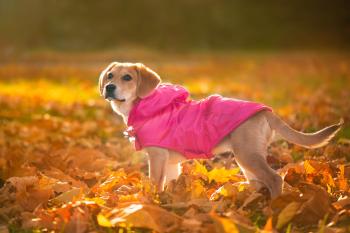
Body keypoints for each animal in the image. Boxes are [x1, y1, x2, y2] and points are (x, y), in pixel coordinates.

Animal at [98, 62, 342, 198]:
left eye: (127, 77)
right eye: (110, 76)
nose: (109, 87)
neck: (146, 105)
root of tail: (265, 111)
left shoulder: (157, 157)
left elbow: (155, 184)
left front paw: (151, 202)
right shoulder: (170, 163)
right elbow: (168, 184)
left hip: (247, 155)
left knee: (275, 179)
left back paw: (275, 207)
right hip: (248, 158)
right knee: (259, 182)